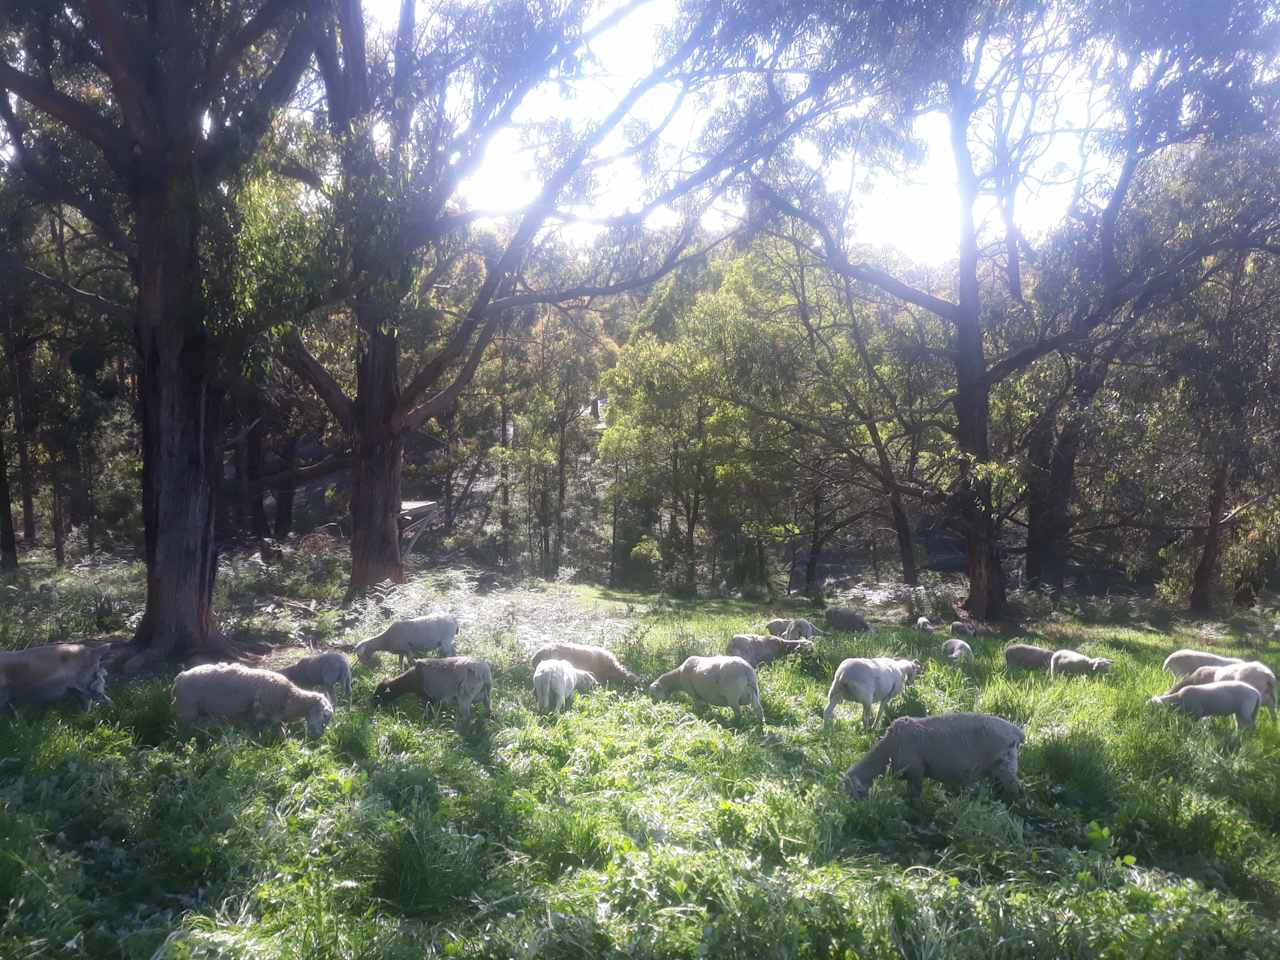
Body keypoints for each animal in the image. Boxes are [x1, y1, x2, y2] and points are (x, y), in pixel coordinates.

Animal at [175, 665, 335, 742]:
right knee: (185, 730)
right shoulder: (259, 715)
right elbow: (256, 733)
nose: (319, 737)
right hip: (188, 710)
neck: (290, 698)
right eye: (324, 715)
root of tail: (180, 677)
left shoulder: (272, 719)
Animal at [844, 716, 1024, 803]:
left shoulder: (916, 771)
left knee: (1017, 790)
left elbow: (914, 796)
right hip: (998, 767)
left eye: (855, 791)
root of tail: (1015, 731)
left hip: (1005, 765)